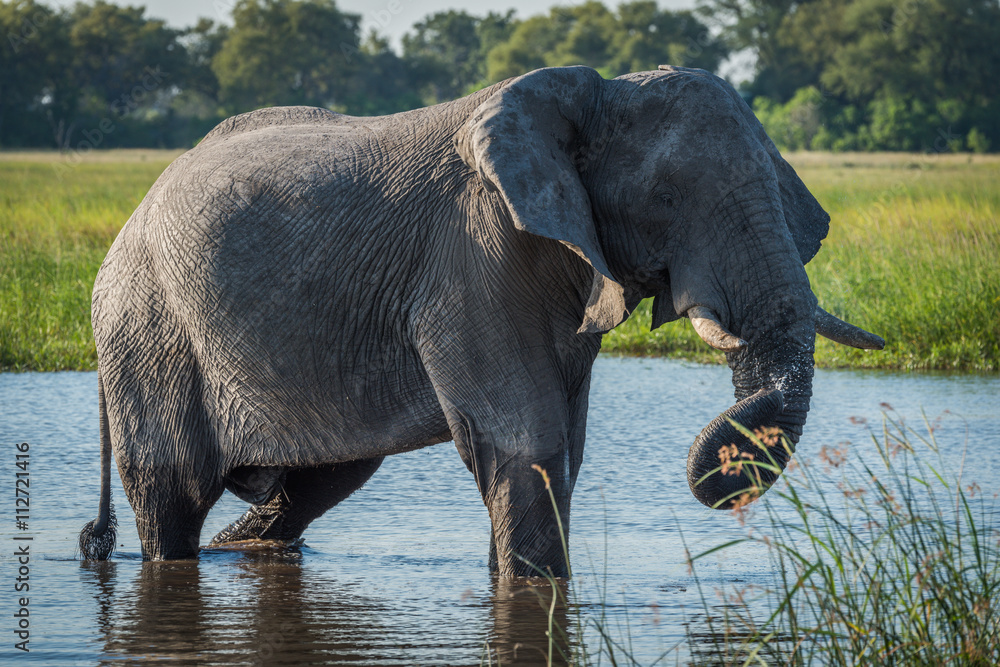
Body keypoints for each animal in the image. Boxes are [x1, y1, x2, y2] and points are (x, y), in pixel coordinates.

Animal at [79, 65, 883, 578]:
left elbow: (562, 449)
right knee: (173, 491)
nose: (718, 468)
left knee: (319, 481)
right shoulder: (472, 255)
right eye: (666, 197)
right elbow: (529, 442)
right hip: (147, 325)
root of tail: (130, 220)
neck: (596, 95)